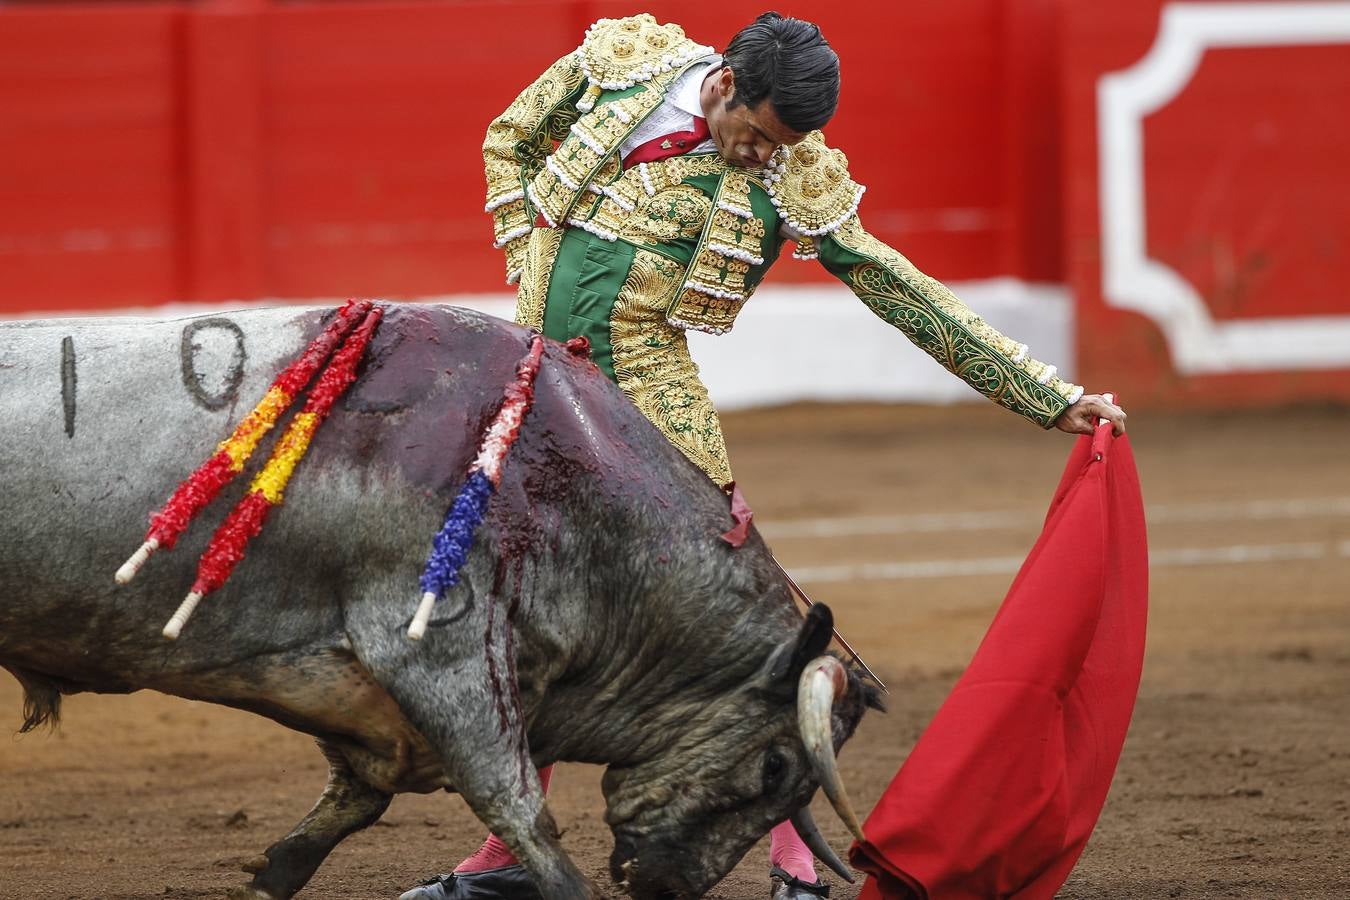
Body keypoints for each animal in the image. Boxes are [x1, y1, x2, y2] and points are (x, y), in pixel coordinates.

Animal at [0, 306, 874, 895]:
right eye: (773, 767)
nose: (669, 885)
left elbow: (352, 803)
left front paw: (270, 873)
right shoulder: (438, 654)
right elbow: (521, 811)